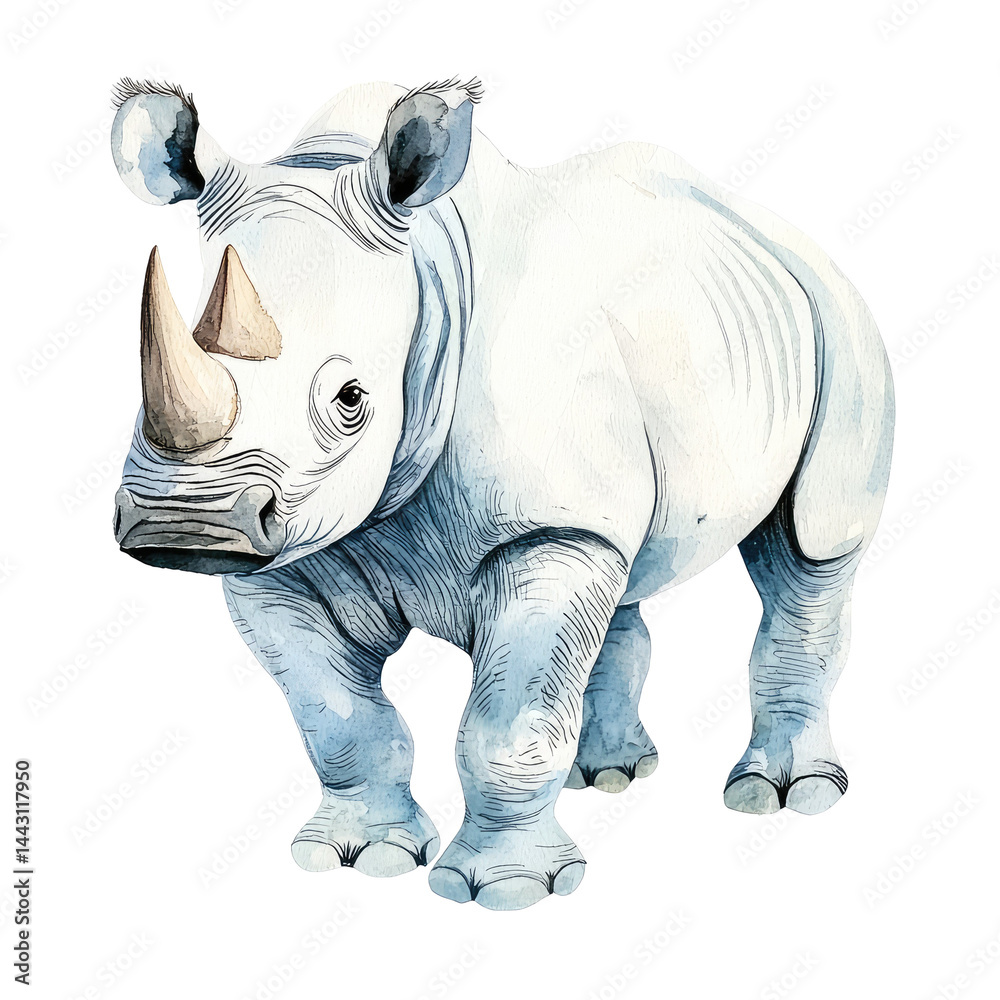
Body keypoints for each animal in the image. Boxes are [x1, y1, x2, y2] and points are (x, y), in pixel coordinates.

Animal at [110, 76, 894, 910]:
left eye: (352, 399)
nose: (184, 523)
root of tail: (773, 230)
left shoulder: (543, 527)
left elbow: (509, 717)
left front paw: (511, 890)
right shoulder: (287, 553)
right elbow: (335, 711)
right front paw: (356, 857)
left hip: (842, 322)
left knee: (812, 547)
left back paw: (783, 795)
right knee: (624, 574)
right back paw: (610, 776)